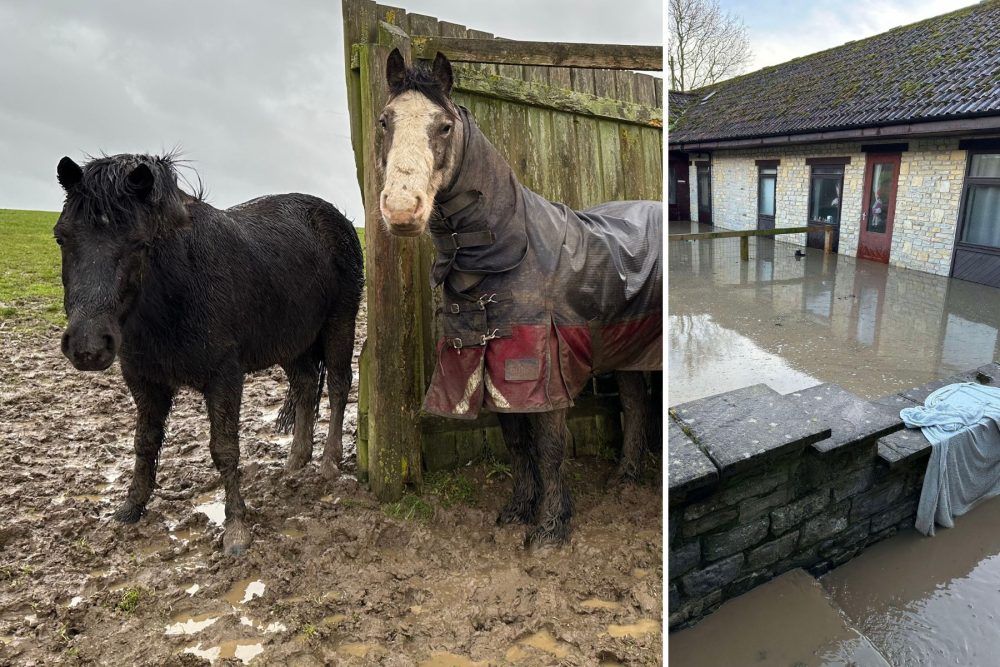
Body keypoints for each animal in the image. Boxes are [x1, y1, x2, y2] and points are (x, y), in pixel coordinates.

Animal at [54, 153, 364, 555]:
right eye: (62, 237)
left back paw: (329, 462)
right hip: (292, 341)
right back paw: (296, 461)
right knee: (307, 386)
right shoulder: (144, 381)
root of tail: (336, 218)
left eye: (138, 243)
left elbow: (225, 448)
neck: (177, 285)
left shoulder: (224, 377)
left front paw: (236, 529)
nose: (87, 346)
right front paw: (130, 509)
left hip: (339, 323)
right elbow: (144, 443)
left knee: (339, 386)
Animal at [377, 50, 662, 547]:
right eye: (384, 121)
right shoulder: (490, 367)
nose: (401, 210)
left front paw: (549, 529)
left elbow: (547, 447)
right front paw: (518, 511)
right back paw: (625, 479)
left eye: (444, 126)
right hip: (627, 350)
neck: (510, 251)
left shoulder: (541, 371)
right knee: (635, 403)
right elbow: (516, 444)